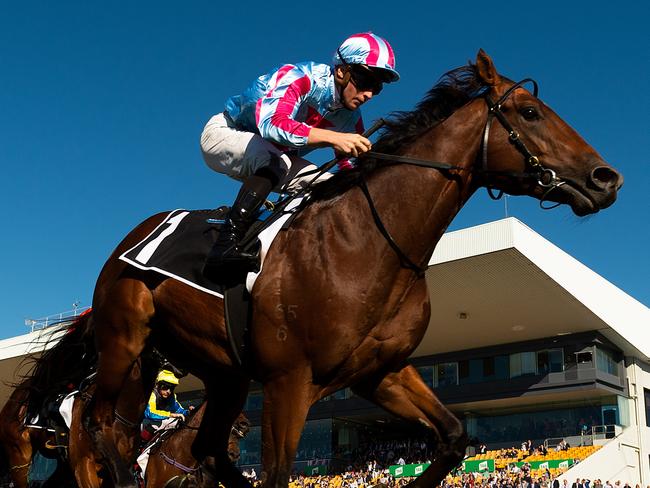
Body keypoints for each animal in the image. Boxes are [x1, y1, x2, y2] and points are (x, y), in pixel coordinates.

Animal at [83, 50, 620, 488]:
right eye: (530, 112)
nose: (606, 178)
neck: (368, 244)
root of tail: (132, 238)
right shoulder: (288, 381)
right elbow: (277, 475)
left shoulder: (381, 372)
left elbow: (452, 438)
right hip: (125, 338)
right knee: (98, 420)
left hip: (223, 374)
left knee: (207, 450)